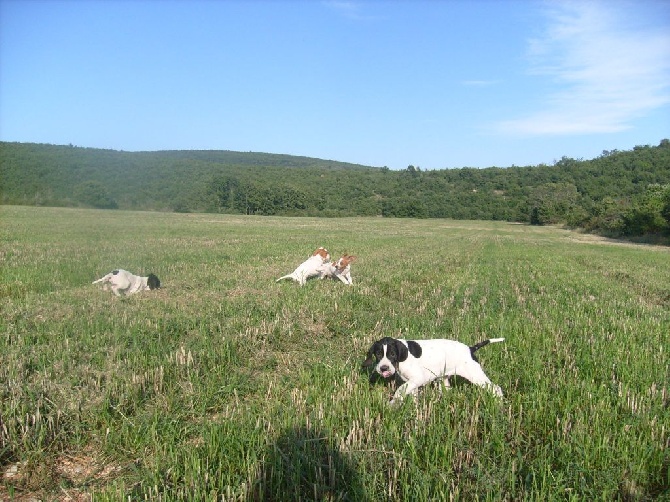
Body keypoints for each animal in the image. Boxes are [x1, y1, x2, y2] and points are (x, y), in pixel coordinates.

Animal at [368, 336, 504, 406]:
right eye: (378, 354)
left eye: (392, 354)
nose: (383, 368)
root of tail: (470, 349)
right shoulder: (412, 383)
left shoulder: (418, 379)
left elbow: (400, 390)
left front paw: (392, 403)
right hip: (445, 380)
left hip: (475, 375)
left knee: (496, 388)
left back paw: (499, 404)